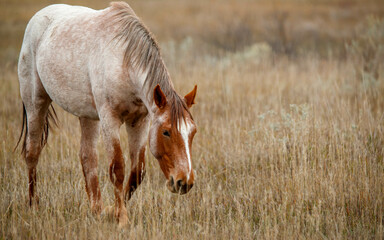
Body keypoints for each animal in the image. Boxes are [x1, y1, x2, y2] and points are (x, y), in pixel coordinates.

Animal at [16, 1, 198, 226]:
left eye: (193, 132)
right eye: (166, 132)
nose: (184, 182)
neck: (123, 61)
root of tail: (38, 17)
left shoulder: (140, 121)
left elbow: (137, 172)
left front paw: (112, 211)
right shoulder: (109, 119)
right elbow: (117, 169)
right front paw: (122, 218)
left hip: (87, 116)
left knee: (88, 158)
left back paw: (96, 209)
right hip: (35, 103)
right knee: (32, 153)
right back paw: (33, 206)